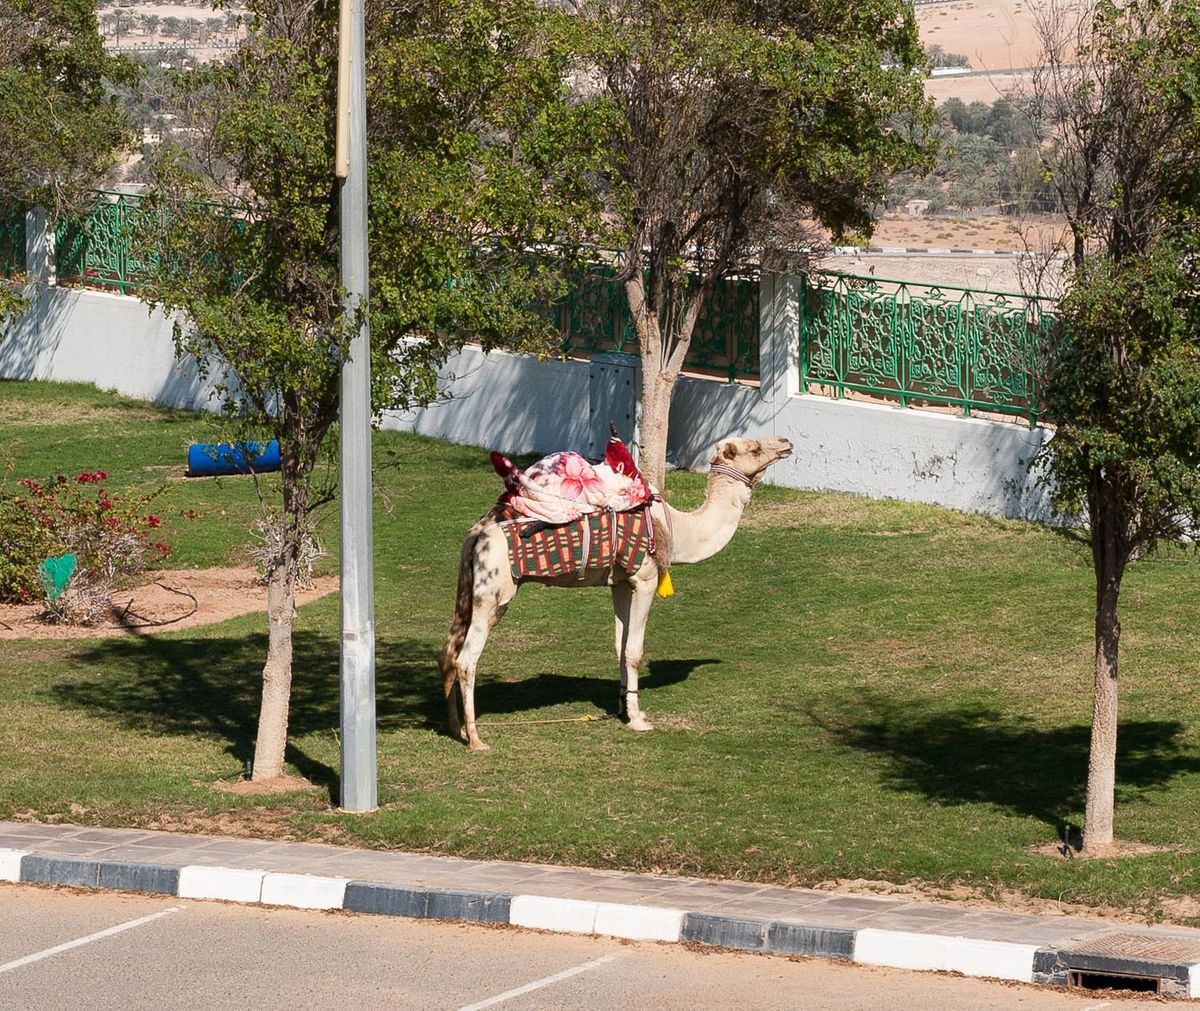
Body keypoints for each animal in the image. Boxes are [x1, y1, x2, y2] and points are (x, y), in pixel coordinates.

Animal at [436, 432, 792, 749]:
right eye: (755, 447)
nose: (786, 442)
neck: (676, 530)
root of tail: (477, 535)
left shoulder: (621, 582)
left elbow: (620, 647)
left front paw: (625, 710)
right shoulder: (645, 578)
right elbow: (634, 651)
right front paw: (638, 721)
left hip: (467, 589)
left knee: (448, 651)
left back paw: (455, 728)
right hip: (494, 591)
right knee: (467, 658)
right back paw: (477, 739)